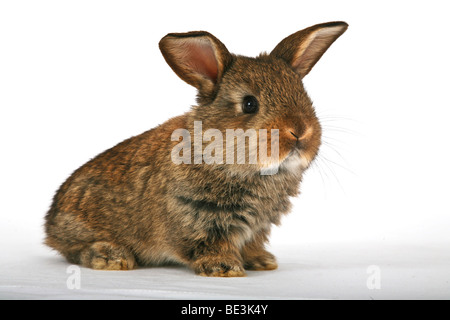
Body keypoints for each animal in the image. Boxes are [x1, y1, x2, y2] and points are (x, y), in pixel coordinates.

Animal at [44, 21, 348, 276]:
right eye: (249, 104)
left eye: (304, 97)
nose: (300, 131)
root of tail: (50, 223)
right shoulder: (198, 218)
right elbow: (208, 244)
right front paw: (225, 268)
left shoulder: (257, 227)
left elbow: (251, 244)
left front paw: (261, 261)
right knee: (75, 250)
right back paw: (111, 257)